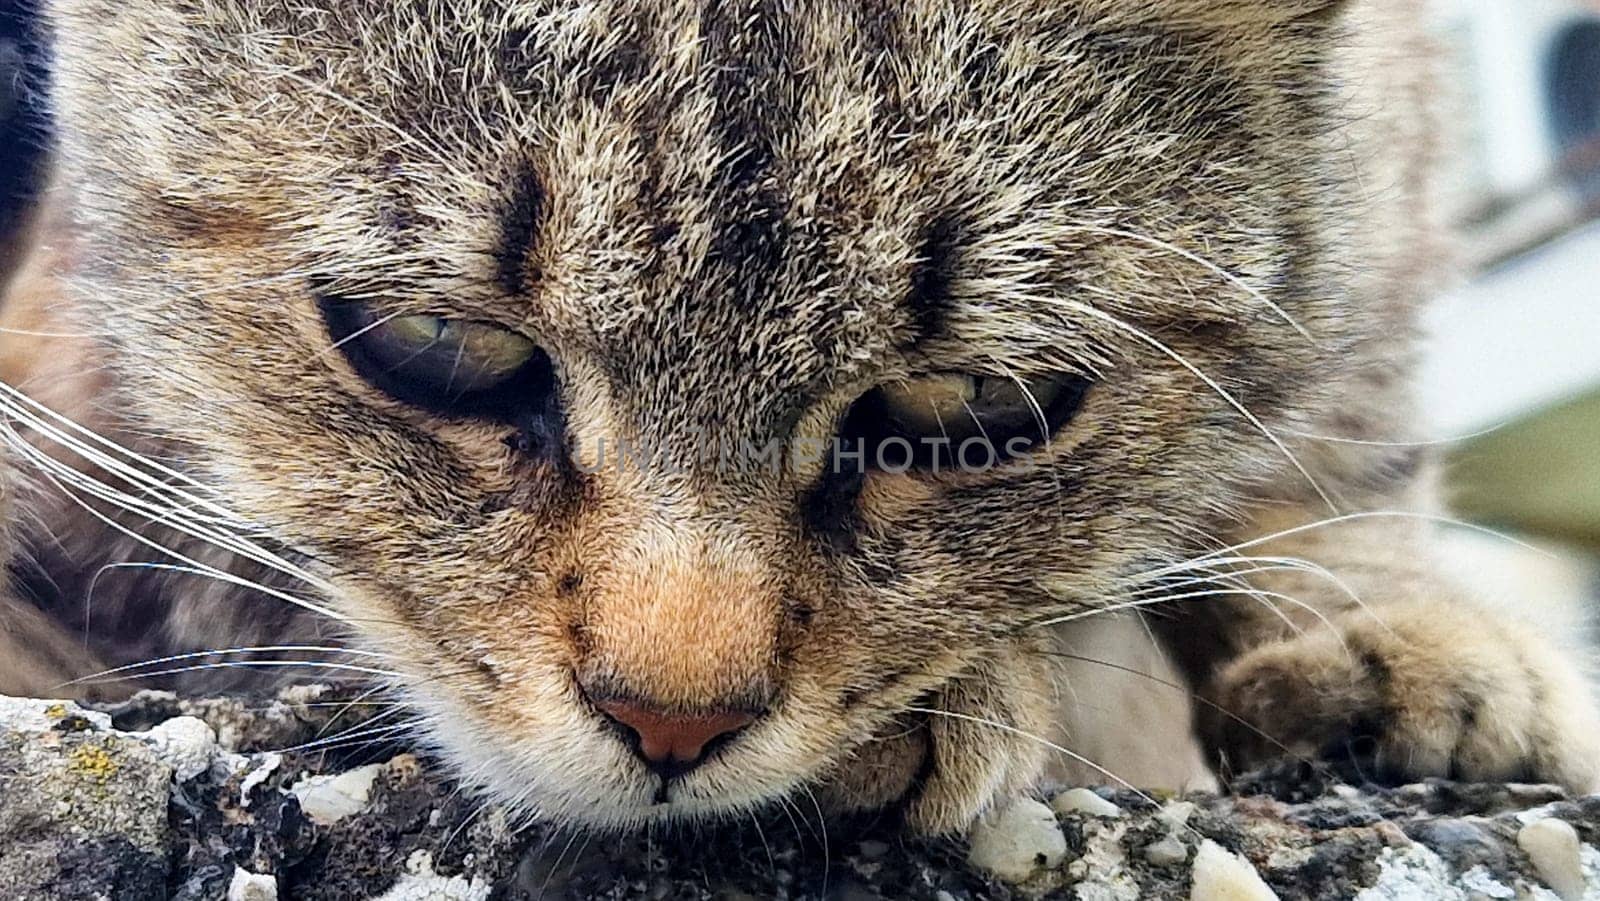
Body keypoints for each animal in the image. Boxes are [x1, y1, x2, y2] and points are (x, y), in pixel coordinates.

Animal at [0, 0, 1593, 838]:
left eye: (974, 402)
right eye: (442, 346)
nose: (671, 721)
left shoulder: (1396, 143)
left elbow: (1334, 412)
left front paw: (1384, 623)